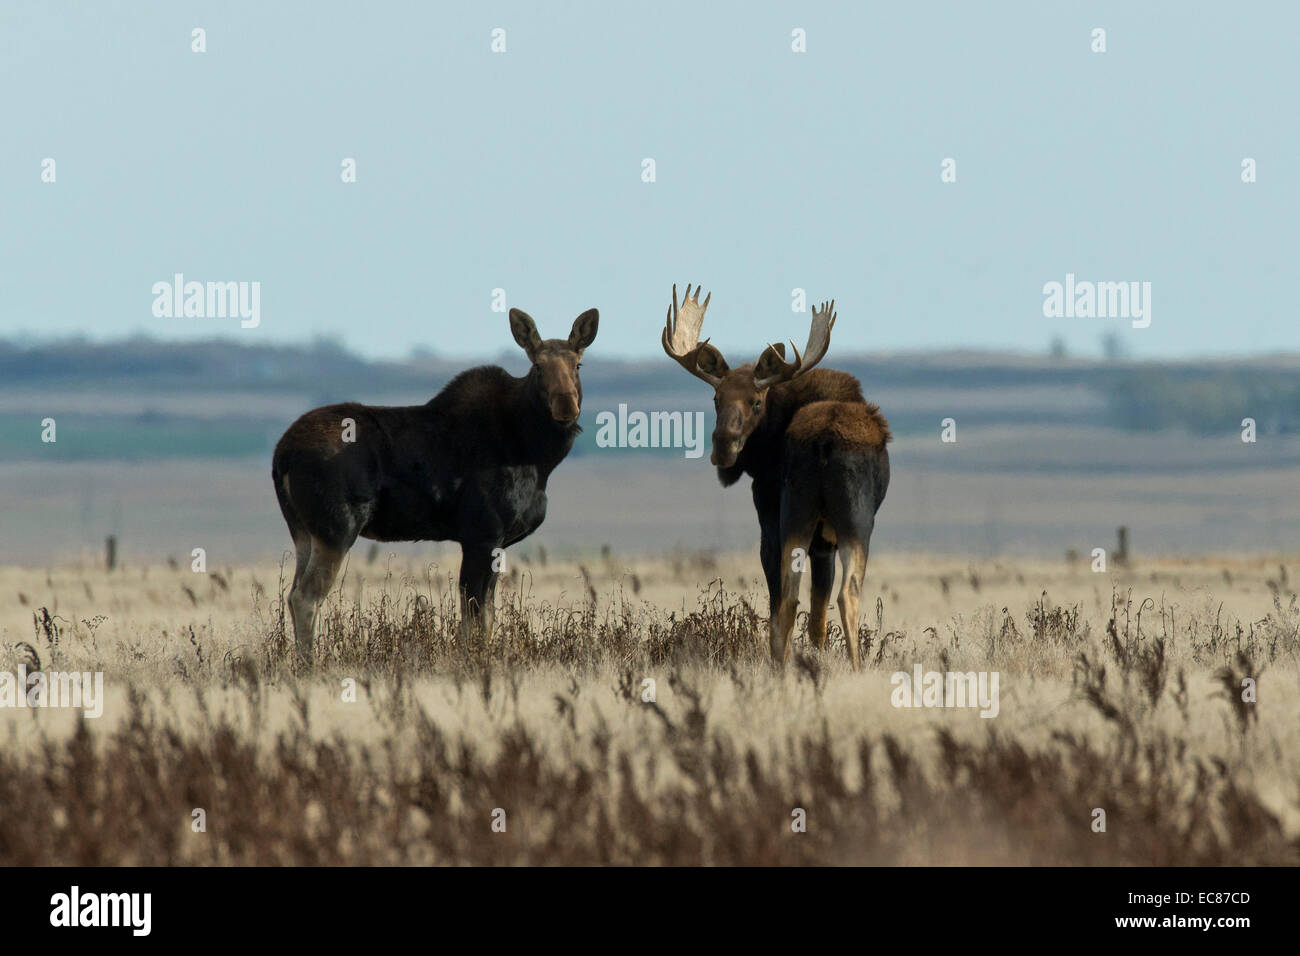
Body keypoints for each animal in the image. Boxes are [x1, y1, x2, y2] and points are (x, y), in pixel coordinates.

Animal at [272, 306, 598, 663]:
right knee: (306, 597)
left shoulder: (494, 541)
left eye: (578, 364)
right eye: (538, 366)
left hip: (303, 531)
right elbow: (474, 619)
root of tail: (281, 456)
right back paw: (310, 664)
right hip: (336, 528)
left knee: (292, 593)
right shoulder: (482, 534)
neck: (537, 457)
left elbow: (487, 617)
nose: (566, 405)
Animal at [662, 284, 890, 669]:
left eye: (756, 401)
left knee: (793, 597)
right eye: (716, 398)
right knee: (838, 594)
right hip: (843, 519)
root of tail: (824, 441)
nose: (723, 446)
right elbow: (814, 611)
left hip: (807, 518)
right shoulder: (800, 528)